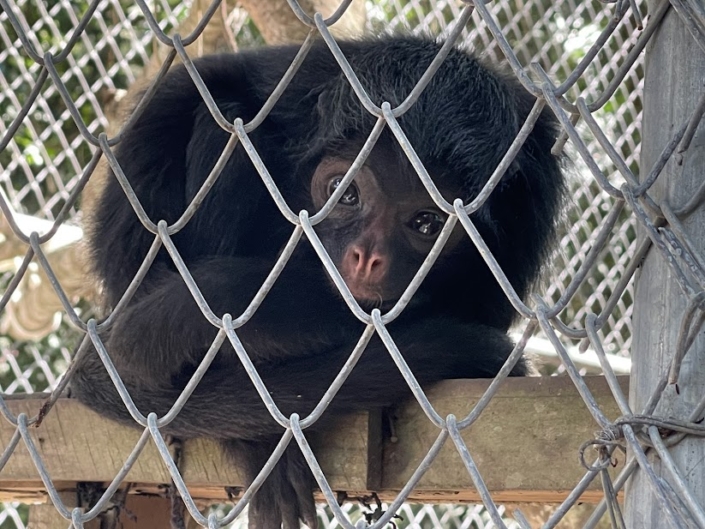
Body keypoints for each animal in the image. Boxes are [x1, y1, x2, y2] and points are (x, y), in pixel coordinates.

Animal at [70, 36, 565, 528]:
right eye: (345, 194)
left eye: (426, 223)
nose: (367, 256)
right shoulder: (293, 82)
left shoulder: (530, 205)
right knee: (225, 125)